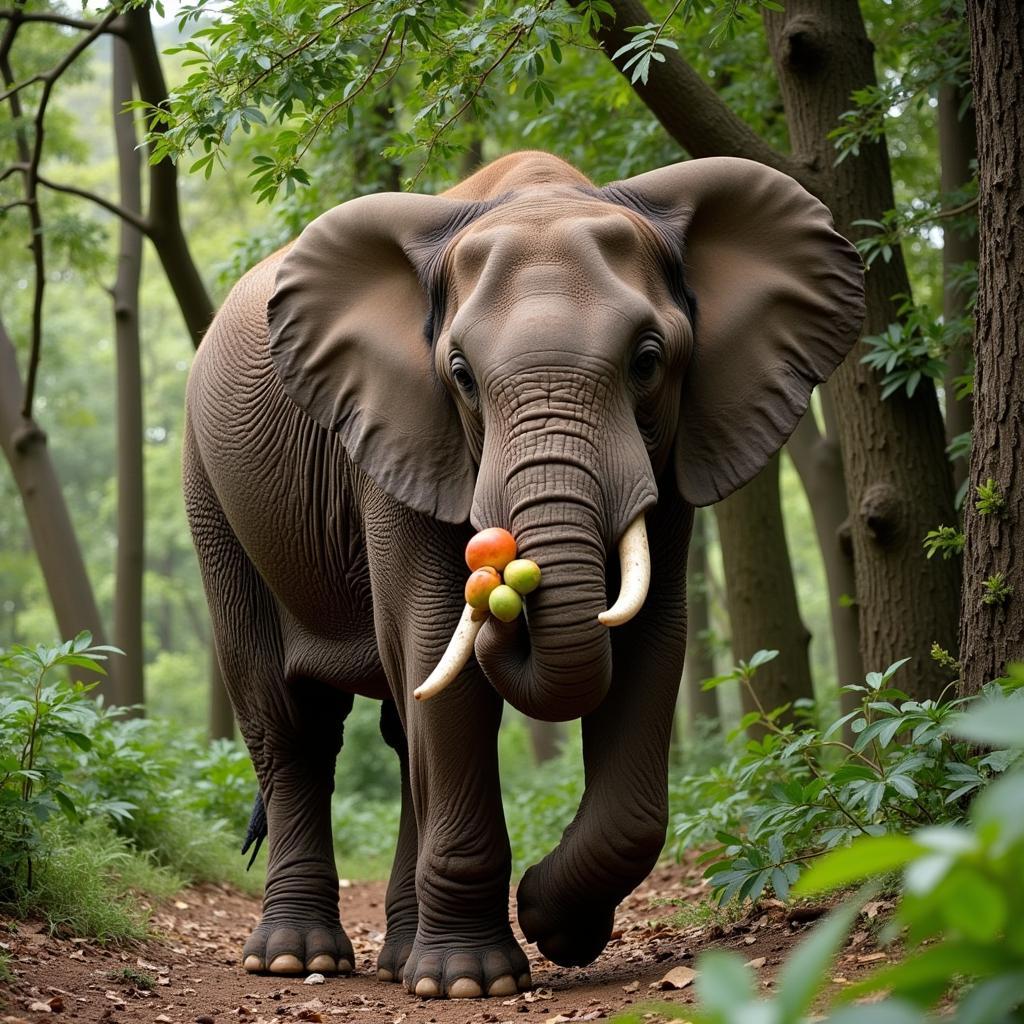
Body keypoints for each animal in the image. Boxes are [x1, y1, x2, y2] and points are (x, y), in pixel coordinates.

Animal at [184, 151, 864, 999]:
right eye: (462, 376)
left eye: (648, 362)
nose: (504, 574)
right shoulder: (398, 434)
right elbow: (432, 634)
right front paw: (471, 982)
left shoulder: (674, 451)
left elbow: (649, 638)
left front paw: (553, 923)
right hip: (212, 496)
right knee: (293, 723)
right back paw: (295, 959)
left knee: (402, 732)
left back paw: (399, 958)